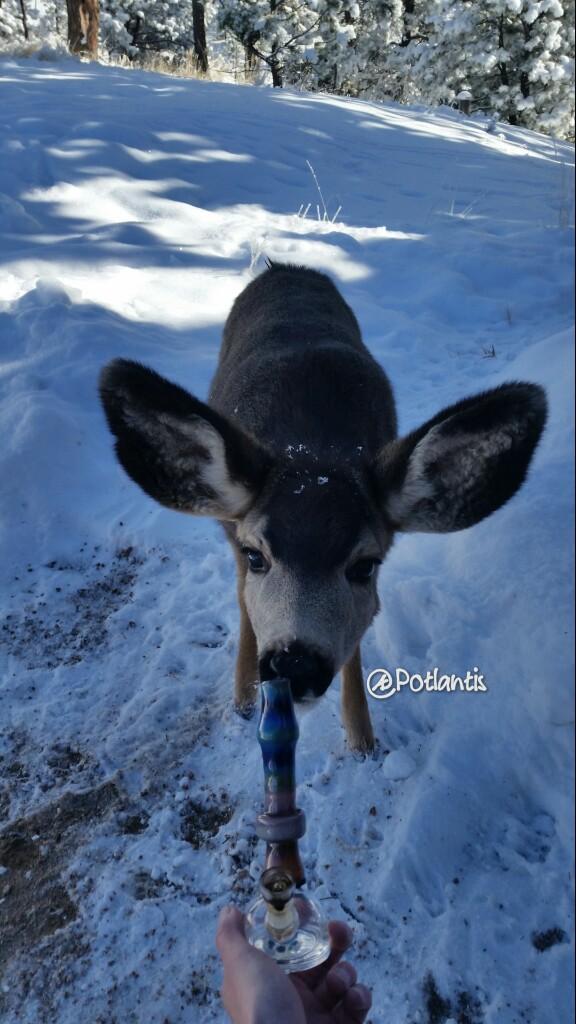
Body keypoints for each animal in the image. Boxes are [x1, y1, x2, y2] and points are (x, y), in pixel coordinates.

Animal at [99, 262, 547, 753]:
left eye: (365, 565)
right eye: (257, 555)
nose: (294, 664)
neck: (314, 452)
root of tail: (284, 268)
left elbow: (359, 636)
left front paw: (362, 736)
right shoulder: (236, 538)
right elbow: (244, 599)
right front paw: (245, 693)